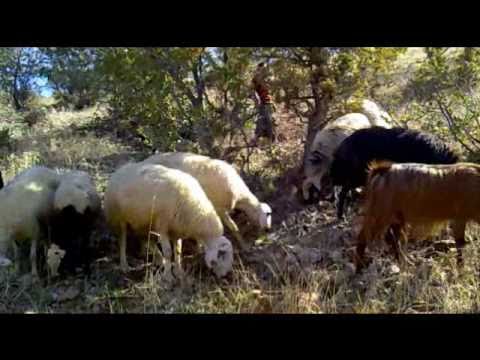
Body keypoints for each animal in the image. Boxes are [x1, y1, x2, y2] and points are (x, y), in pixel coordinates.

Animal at [104, 162, 234, 278]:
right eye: (222, 255)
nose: (224, 276)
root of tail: (120, 169)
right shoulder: (163, 226)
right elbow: (168, 252)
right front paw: (168, 277)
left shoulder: (177, 229)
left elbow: (178, 251)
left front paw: (179, 272)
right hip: (119, 218)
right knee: (122, 241)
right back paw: (124, 265)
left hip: (142, 220)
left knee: (146, 239)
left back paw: (158, 259)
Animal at [141, 152, 272, 250]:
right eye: (267, 214)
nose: (268, 229)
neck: (239, 194)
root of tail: (144, 161)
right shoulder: (219, 209)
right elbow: (234, 227)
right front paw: (244, 245)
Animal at [352, 162, 480, 272]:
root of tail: (382, 170)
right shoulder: (459, 217)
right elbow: (460, 243)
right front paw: (461, 267)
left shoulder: (461, 218)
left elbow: (460, 243)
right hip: (380, 214)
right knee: (363, 238)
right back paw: (359, 269)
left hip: (397, 217)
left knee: (393, 240)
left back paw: (405, 264)